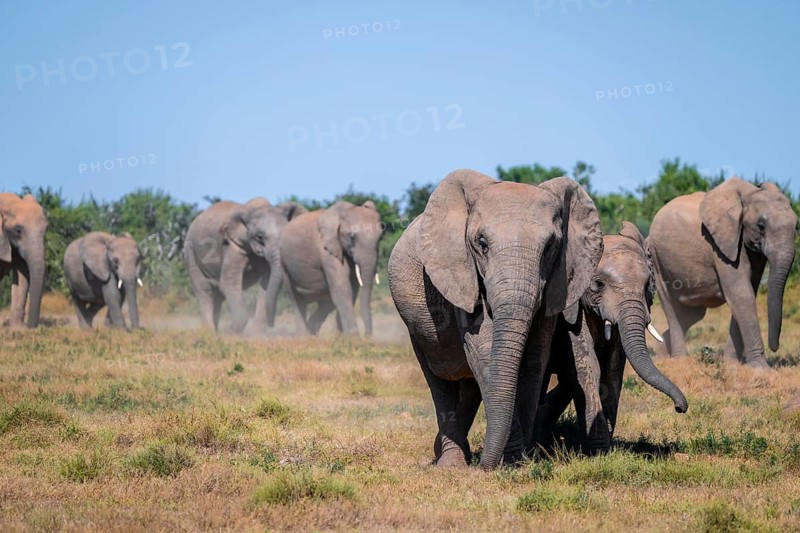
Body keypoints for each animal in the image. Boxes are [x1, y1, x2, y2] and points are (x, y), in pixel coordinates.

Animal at [183, 198, 306, 333]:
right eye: (259, 237)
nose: (272, 324)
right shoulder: (232, 247)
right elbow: (229, 283)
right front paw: (231, 331)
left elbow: (267, 282)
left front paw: (254, 334)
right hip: (191, 252)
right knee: (205, 291)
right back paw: (209, 332)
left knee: (218, 297)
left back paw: (216, 331)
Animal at [280, 200, 382, 336]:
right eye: (352, 237)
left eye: (380, 238)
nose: (367, 336)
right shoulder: (327, 250)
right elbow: (343, 289)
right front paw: (353, 336)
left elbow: (351, 290)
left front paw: (342, 337)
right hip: (284, 263)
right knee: (297, 300)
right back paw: (303, 336)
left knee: (326, 303)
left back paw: (313, 332)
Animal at [388, 169, 604, 469]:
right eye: (482, 244)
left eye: (550, 247)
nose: (484, 467)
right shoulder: (461, 273)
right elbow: (484, 351)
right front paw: (508, 461)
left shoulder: (555, 284)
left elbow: (533, 359)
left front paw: (516, 461)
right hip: (417, 327)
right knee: (439, 381)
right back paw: (452, 463)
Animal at [535, 222, 688, 455]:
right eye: (598, 284)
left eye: (648, 285)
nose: (680, 408)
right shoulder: (570, 314)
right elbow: (588, 367)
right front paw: (598, 450)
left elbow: (612, 370)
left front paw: (605, 445)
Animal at [648, 178, 798, 368]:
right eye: (761, 226)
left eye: (797, 226)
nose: (775, 348)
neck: (749, 193)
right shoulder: (720, 245)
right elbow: (742, 294)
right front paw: (761, 369)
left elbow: (746, 293)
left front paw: (732, 365)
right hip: (656, 258)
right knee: (673, 309)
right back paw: (681, 361)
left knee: (692, 314)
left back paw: (662, 354)